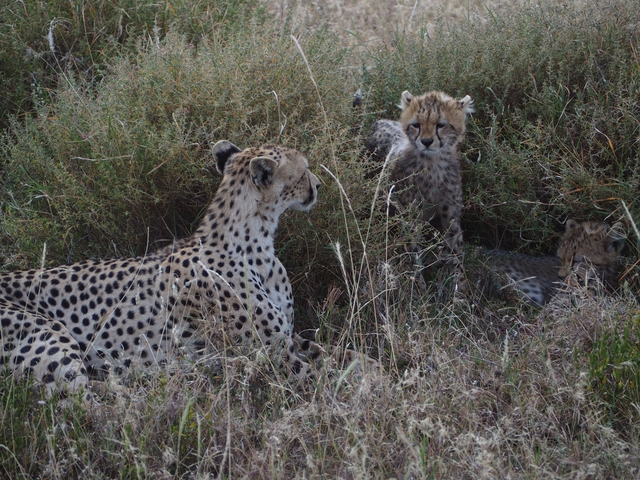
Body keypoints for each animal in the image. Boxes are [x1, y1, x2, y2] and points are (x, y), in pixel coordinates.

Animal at [0, 140, 331, 402]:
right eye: (304, 170)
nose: (318, 184)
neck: (253, 241)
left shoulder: (288, 338)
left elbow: (332, 352)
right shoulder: (275, 358)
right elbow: (328, 383)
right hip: (49, 336)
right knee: (87, 409)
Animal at [364, 90, 474, 294]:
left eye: (441, 124)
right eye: (416, 125)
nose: (426, 141)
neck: (432, 164)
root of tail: (380, 121)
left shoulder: (451, 216)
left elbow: (455, 252)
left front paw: (460, 289)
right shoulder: (411, 218)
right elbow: (413, 251)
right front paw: (419, 288)